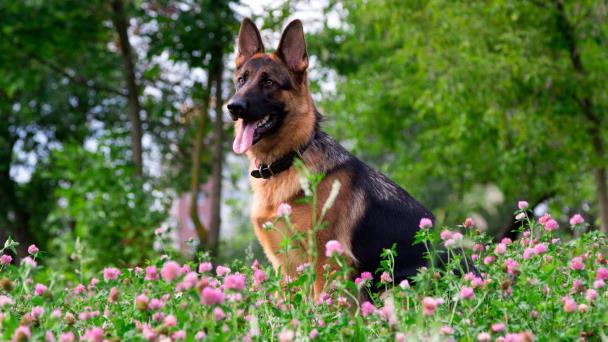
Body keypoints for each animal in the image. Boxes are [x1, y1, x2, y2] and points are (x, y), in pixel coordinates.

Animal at [227, 18, 432, 298]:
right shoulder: (286, 267)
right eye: (241, 80)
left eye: (268, 83)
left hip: (394, 289)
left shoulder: (327, 264)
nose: (233, 106)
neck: (290, 159)